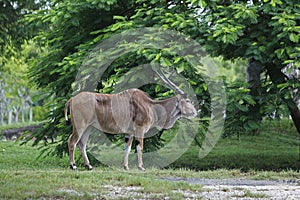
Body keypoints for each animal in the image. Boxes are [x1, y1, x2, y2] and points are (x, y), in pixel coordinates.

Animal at [64, 69, 198, 170]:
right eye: (187, 100)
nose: (195, 112)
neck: (150, 105)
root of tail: (72, 99)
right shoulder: (140, 129)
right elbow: (140, 147)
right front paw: (141, 167)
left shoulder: (129, 133)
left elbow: (127, 148)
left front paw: (126, 167)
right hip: (80, 126)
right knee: (72, 141)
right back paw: (73, 166)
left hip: (88, 127)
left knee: (82, 144)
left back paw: (89, 166)